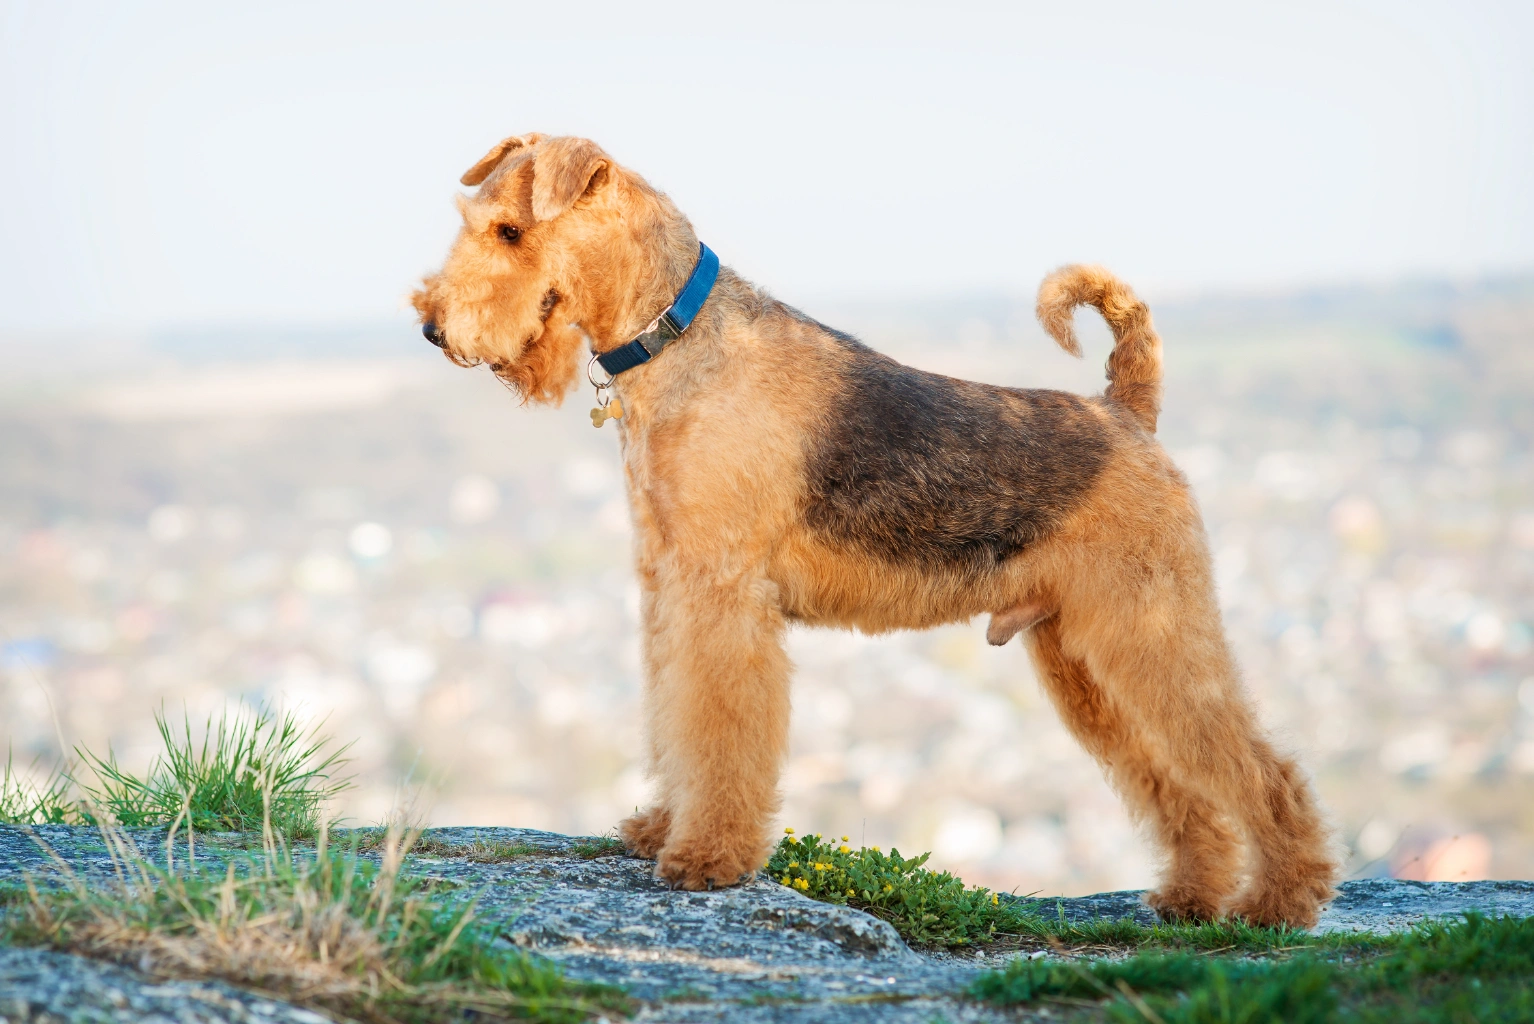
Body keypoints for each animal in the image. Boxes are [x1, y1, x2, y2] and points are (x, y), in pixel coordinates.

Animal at [414, 134, 1337, 925]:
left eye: (509, 229)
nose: (432, 326)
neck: (674, 336)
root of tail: (1126, 412)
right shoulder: (671, 586)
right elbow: (673, 714)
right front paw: (658, 828)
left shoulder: (721, 593)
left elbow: (716, 724)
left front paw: (707, 858)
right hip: (1084, 661)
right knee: (1181, 788)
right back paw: (1192, 894)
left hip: (1152, 631)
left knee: (1263, 772)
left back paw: (1279, 904)